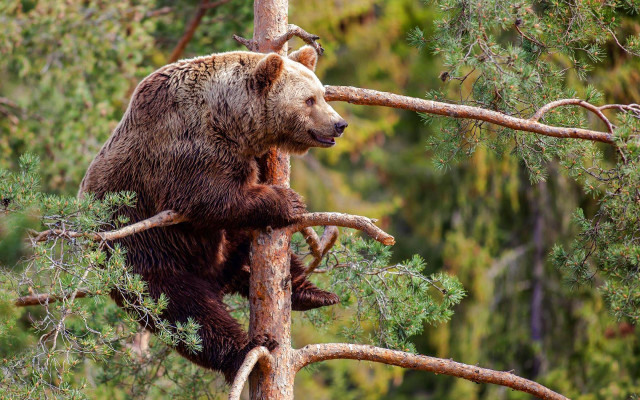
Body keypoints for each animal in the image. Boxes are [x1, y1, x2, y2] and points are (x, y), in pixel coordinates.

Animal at [79, 45, 347, 382]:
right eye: (309, 100)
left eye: (323, 94)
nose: (339, 124)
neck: (228, 119)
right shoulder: (187, 149)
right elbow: (208, 198)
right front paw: (289, 201)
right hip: (142, 255)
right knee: (187, 312)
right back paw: (247, 349)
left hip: (218, 247)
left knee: (254, 252)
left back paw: (312, 294)